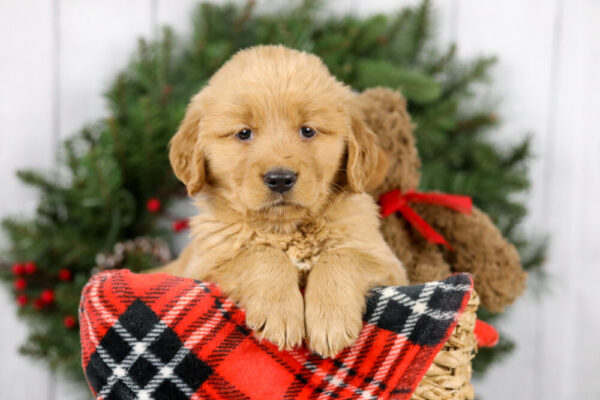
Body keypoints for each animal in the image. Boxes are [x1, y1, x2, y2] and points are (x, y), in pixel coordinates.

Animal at [163, 45, 408, 358]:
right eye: (244, 133)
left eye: (308, 130)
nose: (280, 179)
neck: (287, 229)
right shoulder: (202, 270)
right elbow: (260, 253)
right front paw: (279, 314)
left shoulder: (390, 267)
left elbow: (341, 255)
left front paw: (331, 319)